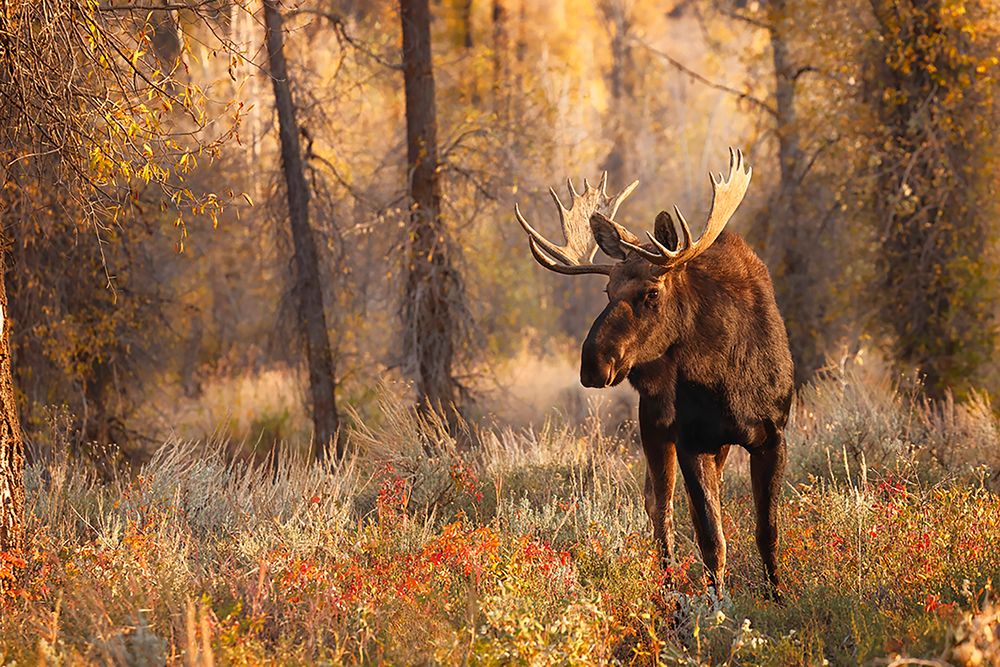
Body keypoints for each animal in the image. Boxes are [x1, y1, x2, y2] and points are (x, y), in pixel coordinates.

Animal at [516, 150, 788, 596]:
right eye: (607, 292)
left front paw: (778, 596)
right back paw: (668, 588)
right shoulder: (692, 438)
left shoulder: (771, 434)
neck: (728, 379)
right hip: (654, 424)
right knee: (660, 507)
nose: (594, 363)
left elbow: (768, 532)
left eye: (652, 292)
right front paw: (716, 602)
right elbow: (711, 537)